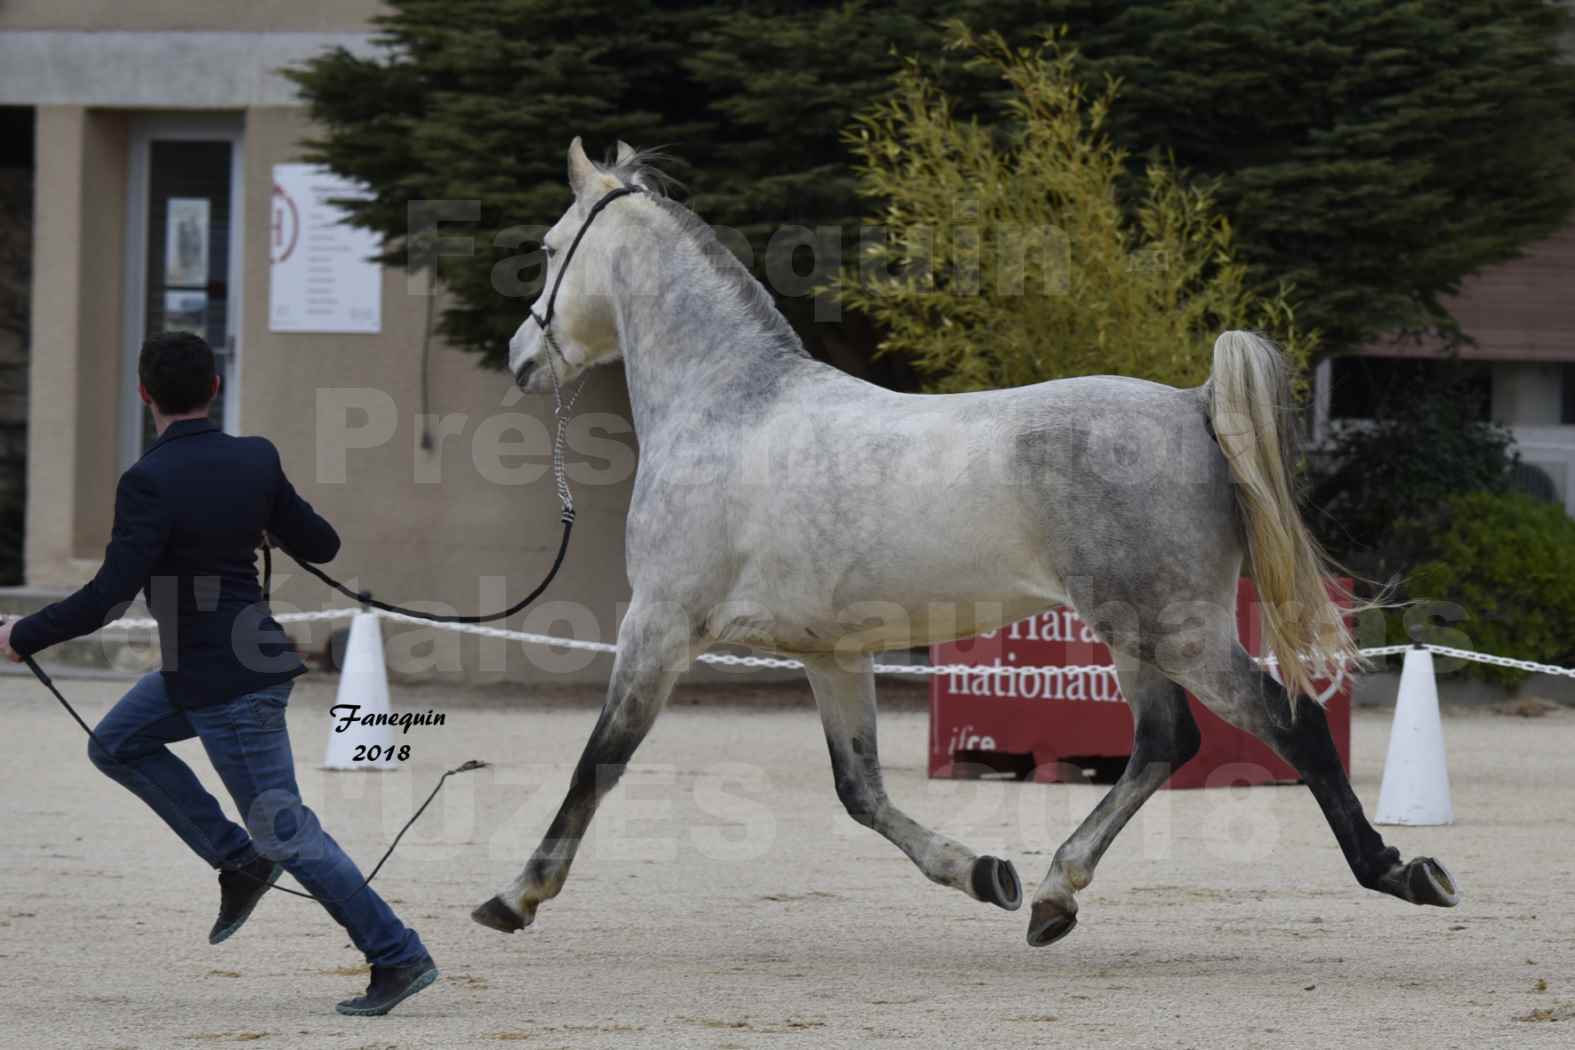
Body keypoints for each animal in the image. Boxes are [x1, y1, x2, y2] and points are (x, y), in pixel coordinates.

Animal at [469, 139, 1461, 950]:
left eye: (551, 248)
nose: (521, 357)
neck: (729, 406)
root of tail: (1191, 405)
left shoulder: (660, 627)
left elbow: (600, 758)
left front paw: (517, 895)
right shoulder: (831, 656)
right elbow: (859, 791)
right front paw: (984, 875)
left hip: (1172, 630)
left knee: (1285, 722)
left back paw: (1399, 871)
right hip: (1137, 636)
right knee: (1161, 743)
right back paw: (1053, 895)